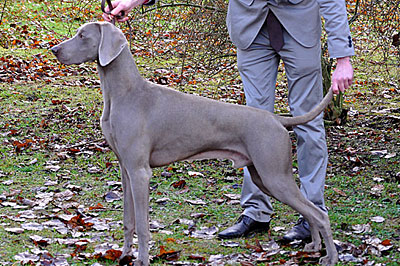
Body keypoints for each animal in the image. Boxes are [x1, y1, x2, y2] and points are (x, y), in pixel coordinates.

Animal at [50, 21, 338, 264]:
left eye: (82, 36)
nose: (54, 50)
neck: (124, 93)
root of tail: (276, 118)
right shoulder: (125, 169)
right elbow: (128, 219)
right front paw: (124, 255)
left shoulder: (140, 171)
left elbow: (142, 224)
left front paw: (141, 259)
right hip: (262, 176)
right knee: (310, 211)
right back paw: (314, 247)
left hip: (274, 175)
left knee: (320, 214)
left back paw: (330, 257)